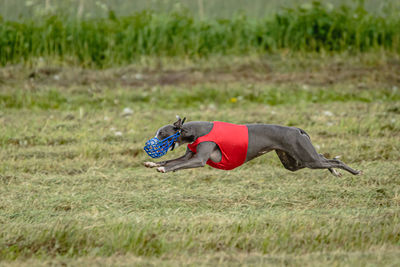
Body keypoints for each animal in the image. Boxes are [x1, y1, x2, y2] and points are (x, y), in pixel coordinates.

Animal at [145, 116, 362, 177]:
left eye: (161, 134)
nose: (148, 145)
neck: (192, 131)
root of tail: (297, 130)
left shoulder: (198, 159)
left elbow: (176, 164)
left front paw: (162, 168)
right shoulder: (188, 155)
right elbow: (173, 160)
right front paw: (152, 164)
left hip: (307, 157)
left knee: (334, 160)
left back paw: (352, 171)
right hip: (294, 161)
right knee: (326, 159)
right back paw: (335, 172)